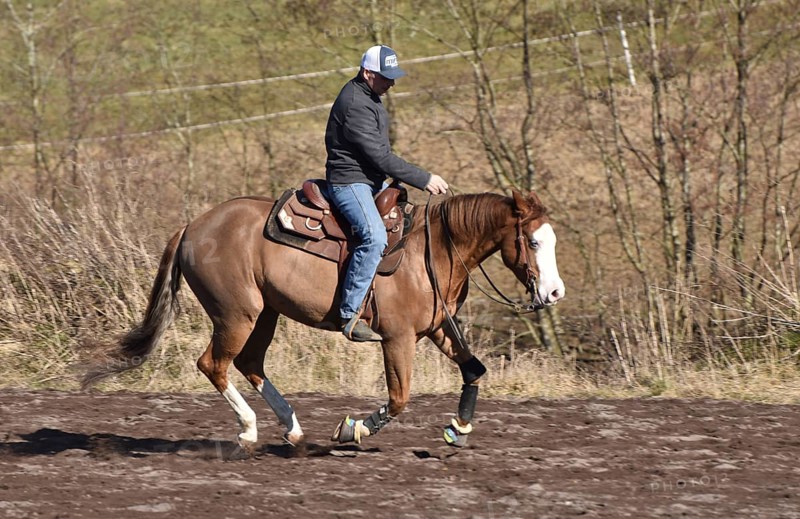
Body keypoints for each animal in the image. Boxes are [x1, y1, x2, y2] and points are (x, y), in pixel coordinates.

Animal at [82, 188, 565, 448]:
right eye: (534, 242)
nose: (555, 292)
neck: (435, 249)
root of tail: (192, 227)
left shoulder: (438, 328)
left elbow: (474, 369)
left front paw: (458, 427)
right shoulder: (399, 338)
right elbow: (399, 398)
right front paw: (353, 429)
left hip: (266, 314)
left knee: (250, 364)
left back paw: (292, 429)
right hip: (237, 314)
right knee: (214, 364)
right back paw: (249, 432)